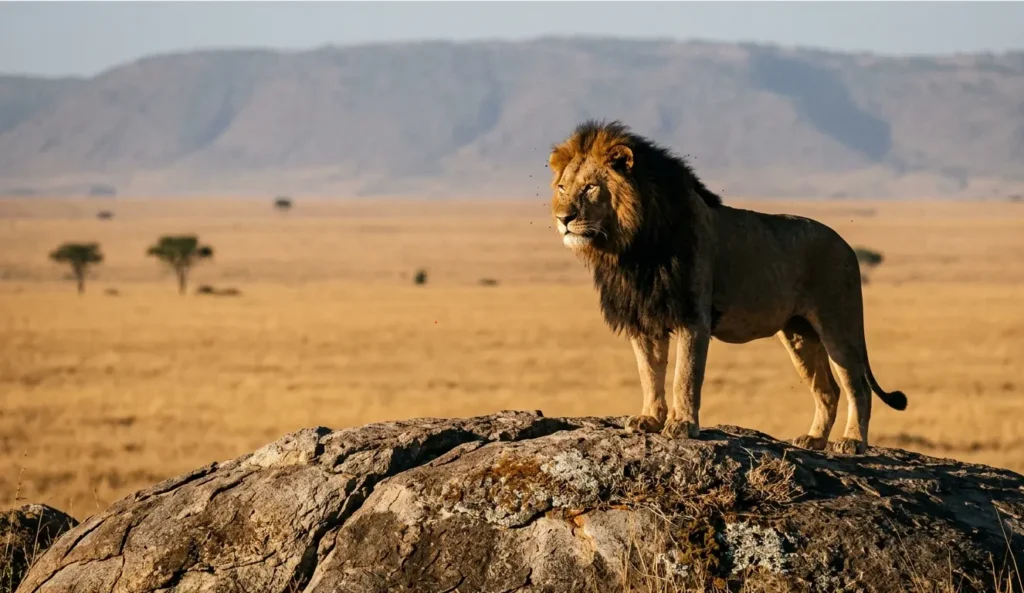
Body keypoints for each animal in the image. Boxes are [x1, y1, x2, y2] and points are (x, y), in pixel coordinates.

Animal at [548, 120, 907, 454]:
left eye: (590, 187)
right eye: (563, 187)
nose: (563, 219)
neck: (631, 248)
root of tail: (846, 245)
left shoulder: (694, 315)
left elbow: (685, 376)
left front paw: (682, 425)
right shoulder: (644, 316)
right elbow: (649, 373)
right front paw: (649, 419)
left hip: (838, 324)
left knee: (857, 386)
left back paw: (852, 442)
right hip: (799, 334)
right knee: (828, 389)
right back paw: (814, 439)